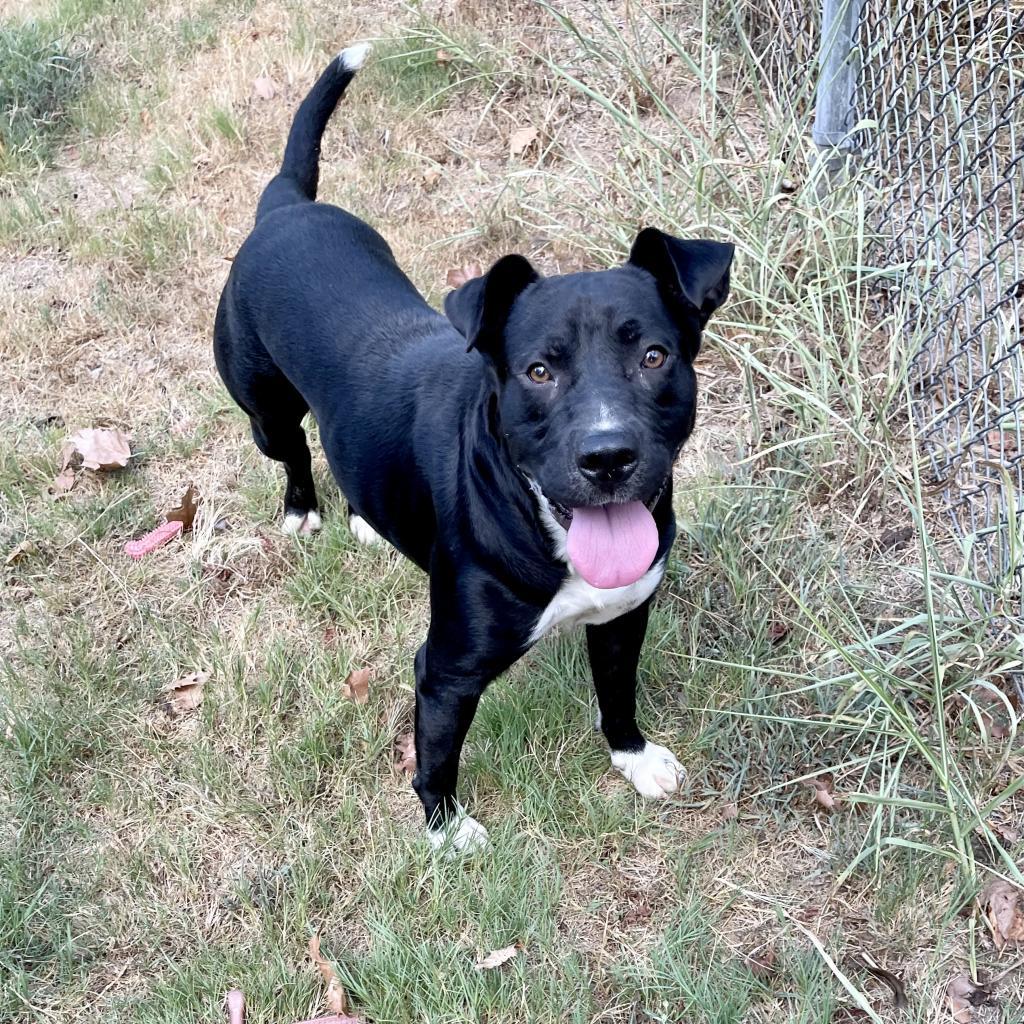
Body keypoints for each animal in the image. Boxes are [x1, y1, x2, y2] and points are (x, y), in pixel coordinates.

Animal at [214, 46, 729, 847]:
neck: (540, 521)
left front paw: (635, 758)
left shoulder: (622, 617)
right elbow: (437, 755)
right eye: (539, 371)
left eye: (654, 356)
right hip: (263, 408)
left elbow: (618, 693)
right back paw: (303, 509)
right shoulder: (446, 670)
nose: (608, 457)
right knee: (292, 449)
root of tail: (285, 205)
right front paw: (446, 830)